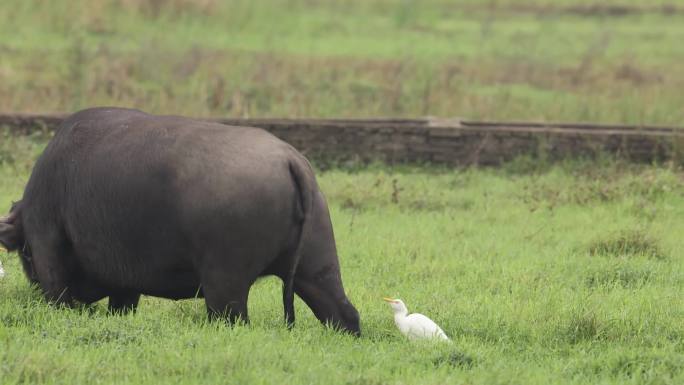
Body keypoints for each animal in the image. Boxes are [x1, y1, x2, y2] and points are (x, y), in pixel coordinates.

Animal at [0, 106, 360, 334]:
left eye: (25, 252)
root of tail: (289, 159)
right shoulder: (125, 287)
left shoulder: (50, 257)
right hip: (317, 267)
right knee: (344, 313)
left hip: (224, 285)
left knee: (234, 320)